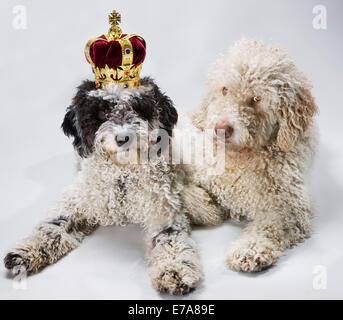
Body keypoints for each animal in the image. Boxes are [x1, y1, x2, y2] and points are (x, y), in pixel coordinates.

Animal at [185, 38, 320, 272]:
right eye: (224, 90)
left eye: (256, 98)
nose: (221, 129)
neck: (240, 156)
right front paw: (206, 207)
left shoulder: (290, 207)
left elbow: (270, 225)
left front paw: (249, 250)